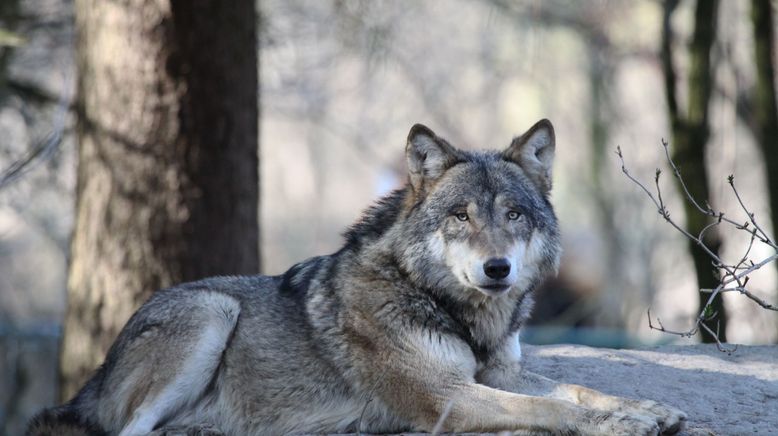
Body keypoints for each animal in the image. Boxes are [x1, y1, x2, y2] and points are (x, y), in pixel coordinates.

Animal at [28, 119, 684, 436]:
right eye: (461, 216)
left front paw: (646, 408)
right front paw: (622, 424)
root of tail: (96, 374)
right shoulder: (445, 397)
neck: (442, 304)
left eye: (514, 215)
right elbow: (550, 411)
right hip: (214, 310)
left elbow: (573, 391)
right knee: (127, 430)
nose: (496, 269)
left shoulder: (498, 374)